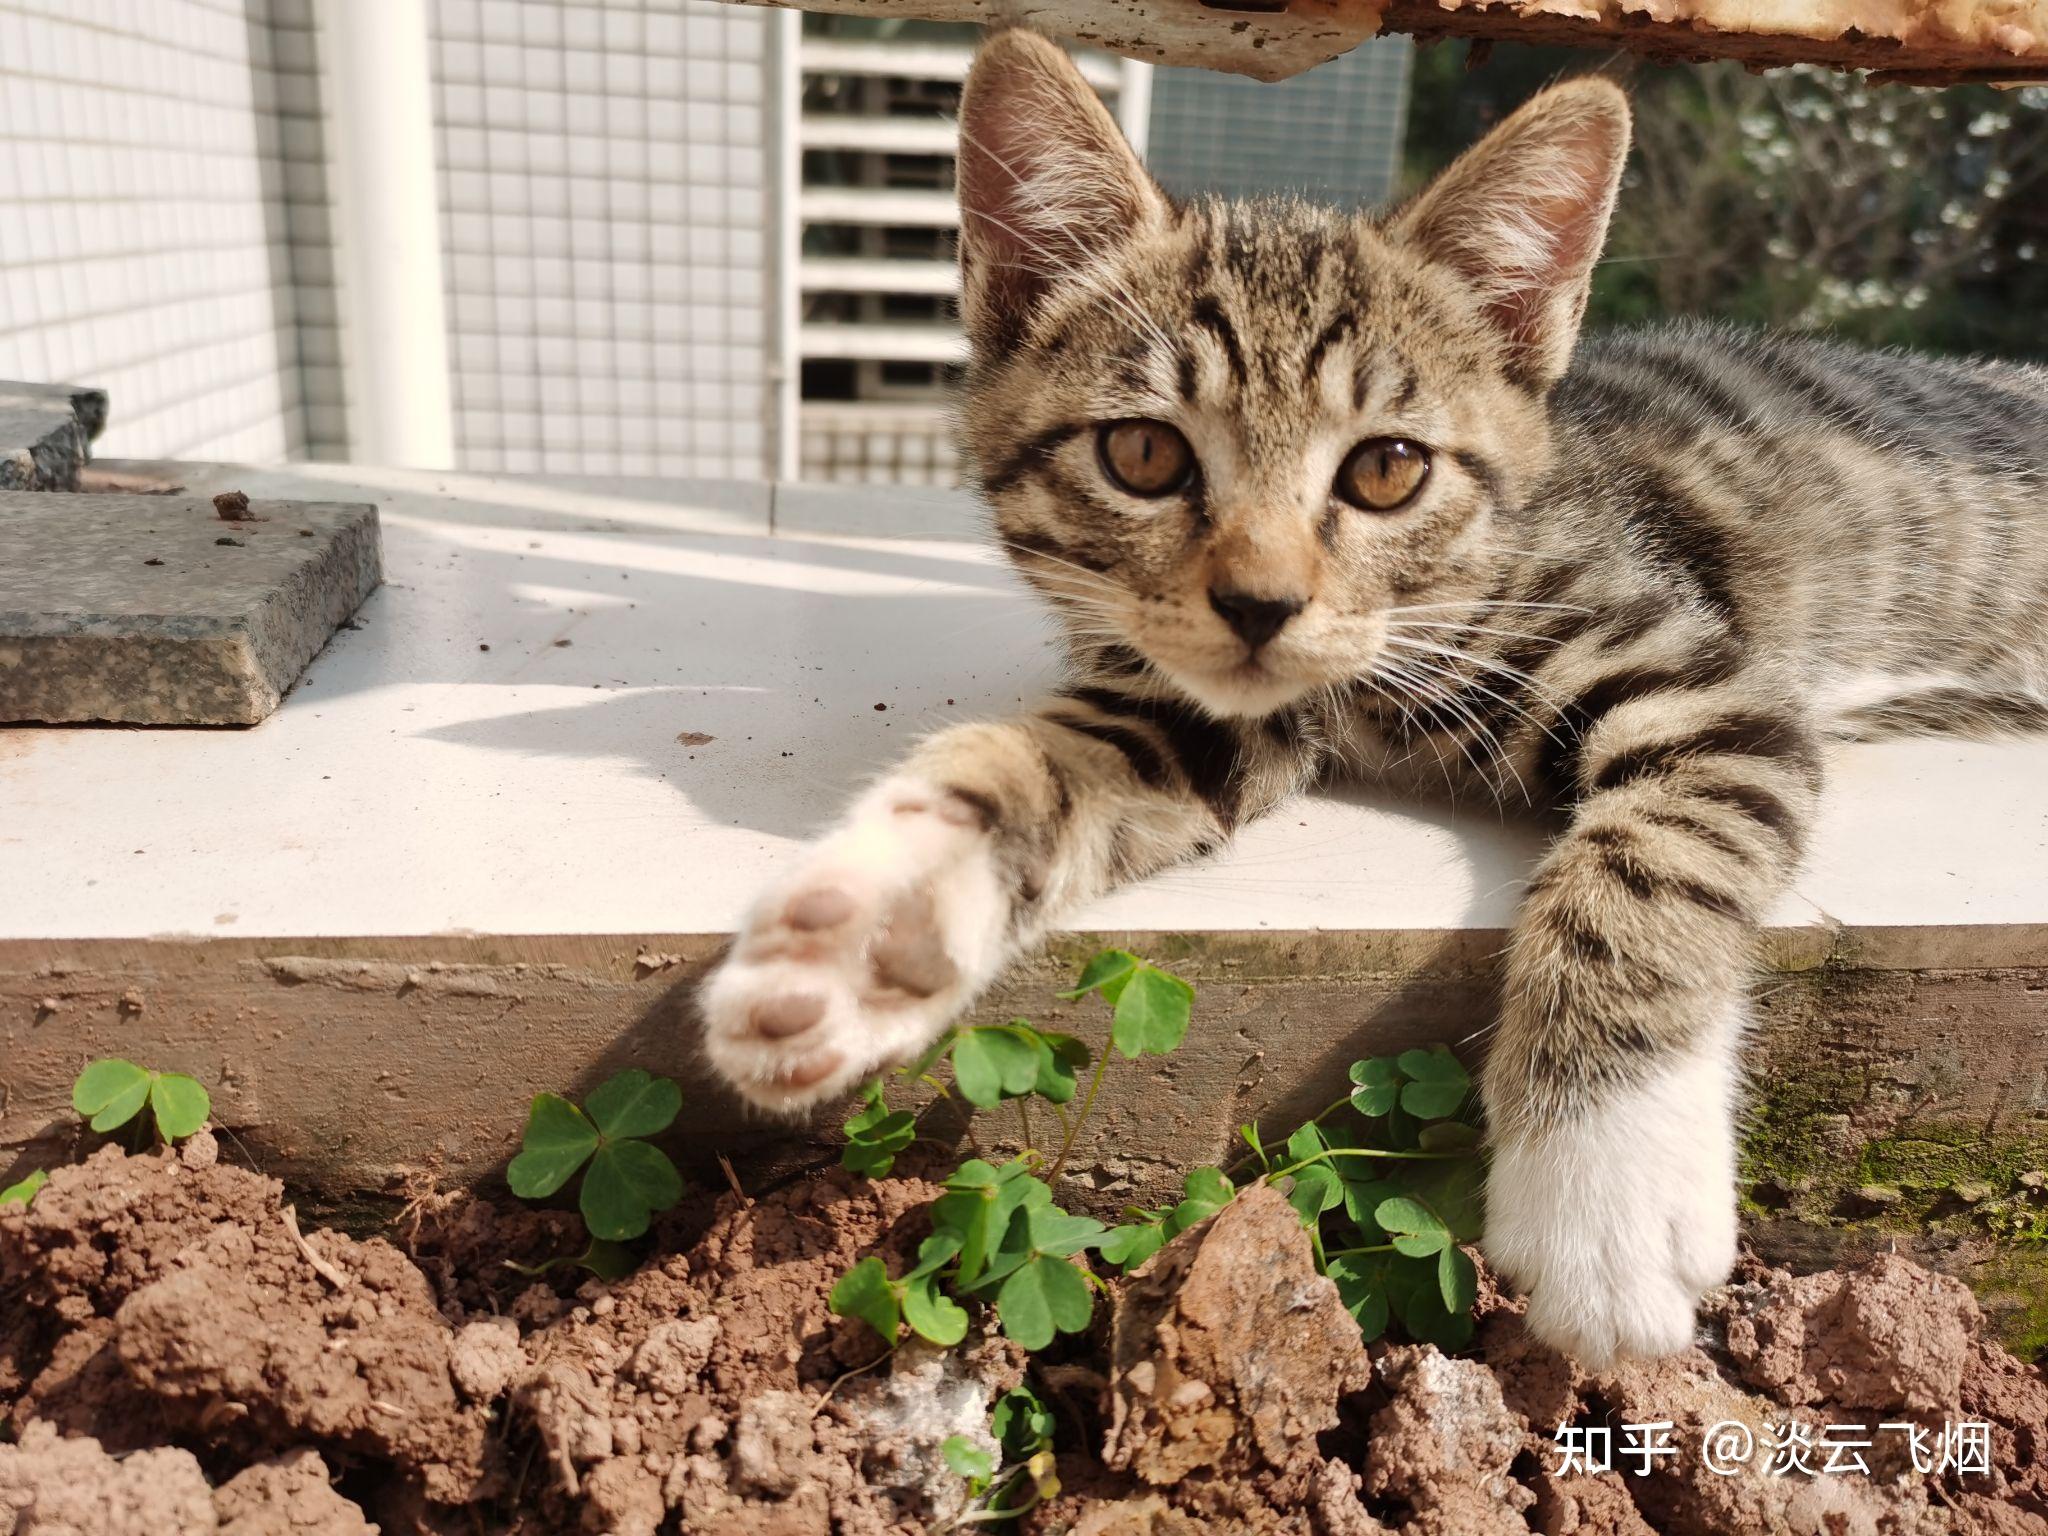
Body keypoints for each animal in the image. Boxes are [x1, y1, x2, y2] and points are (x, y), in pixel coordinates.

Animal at [700, 30, 2048, 1368]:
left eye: (1387, 469)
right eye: (1142, 453)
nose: (1258, 605)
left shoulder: (1698, 679)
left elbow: (1645, 867)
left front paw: (1605, 1188)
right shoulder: (1192, 708)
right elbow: (1035, 764)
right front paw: (866, 924)